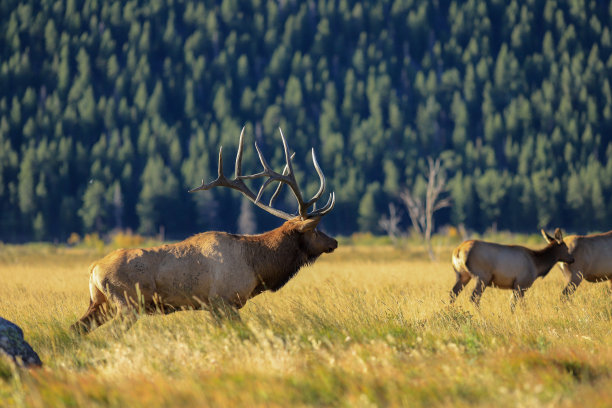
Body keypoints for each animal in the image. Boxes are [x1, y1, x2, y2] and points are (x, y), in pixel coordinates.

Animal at [74, 127, 340, 334]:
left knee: (76, 328)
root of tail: (93, 268)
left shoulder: (214, 306)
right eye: (316, 230)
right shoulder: (222, 300)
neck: (257, 266)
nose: (334, 242)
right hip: (127, 304)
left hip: (100, 303)